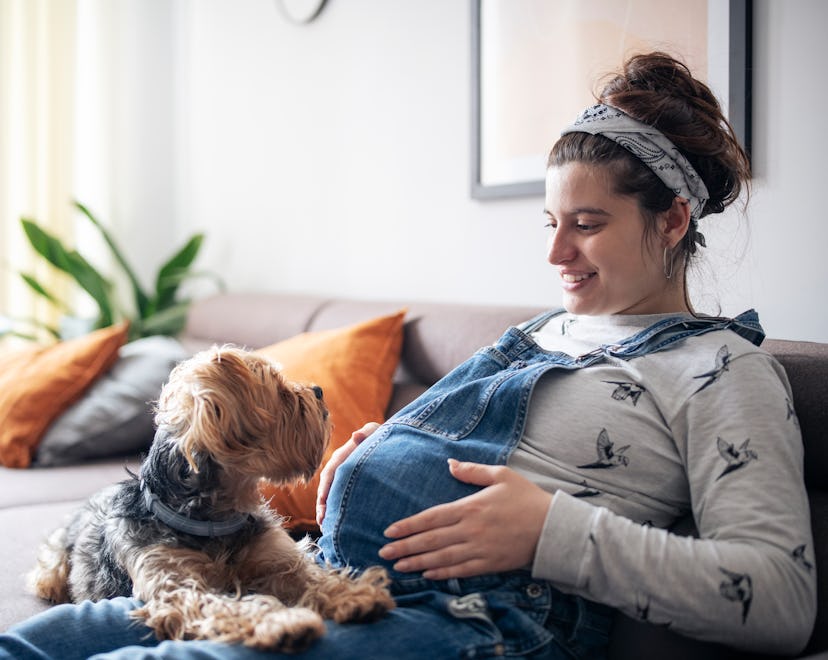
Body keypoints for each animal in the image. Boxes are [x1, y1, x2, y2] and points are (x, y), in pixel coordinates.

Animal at [29, 346, 394, 648]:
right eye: (278, 390)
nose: (318, 391)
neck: (215, 518)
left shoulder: (277, 558)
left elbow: (312, 575)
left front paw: (353, 594)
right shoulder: (176, 586)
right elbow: (228, 605)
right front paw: (282, 622)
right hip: (54, 566)